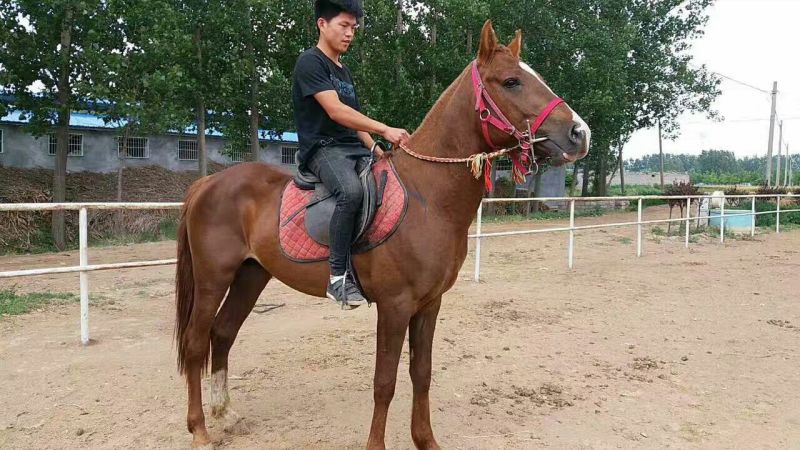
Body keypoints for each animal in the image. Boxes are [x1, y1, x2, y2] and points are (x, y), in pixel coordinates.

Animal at [174, 20, 590, 449]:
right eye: (511, 81)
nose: (580, 133)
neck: (428, 197)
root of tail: (207, 183)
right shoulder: (395, 306)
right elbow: (385, 382)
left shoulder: (429, 304)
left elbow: (421, 373)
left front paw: (426, 440)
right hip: (213, 278)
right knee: (195, 342)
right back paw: (200, 429)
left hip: (251, 274)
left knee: (223, 333)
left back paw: (226, 414)